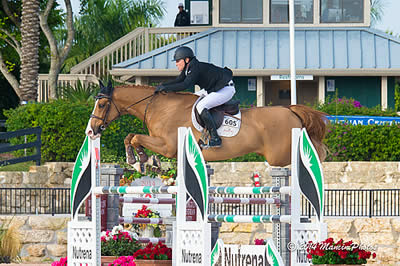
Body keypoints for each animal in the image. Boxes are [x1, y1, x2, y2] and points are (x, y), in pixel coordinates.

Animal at [86, 81, 326, 166]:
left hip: (279, 156)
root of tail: (290, 110)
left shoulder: (168, 146)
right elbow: (130, 137)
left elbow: (135, 137)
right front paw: (139, 158)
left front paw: (140, 158)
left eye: (102, 104)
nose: (91, 131)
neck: (159, 108)